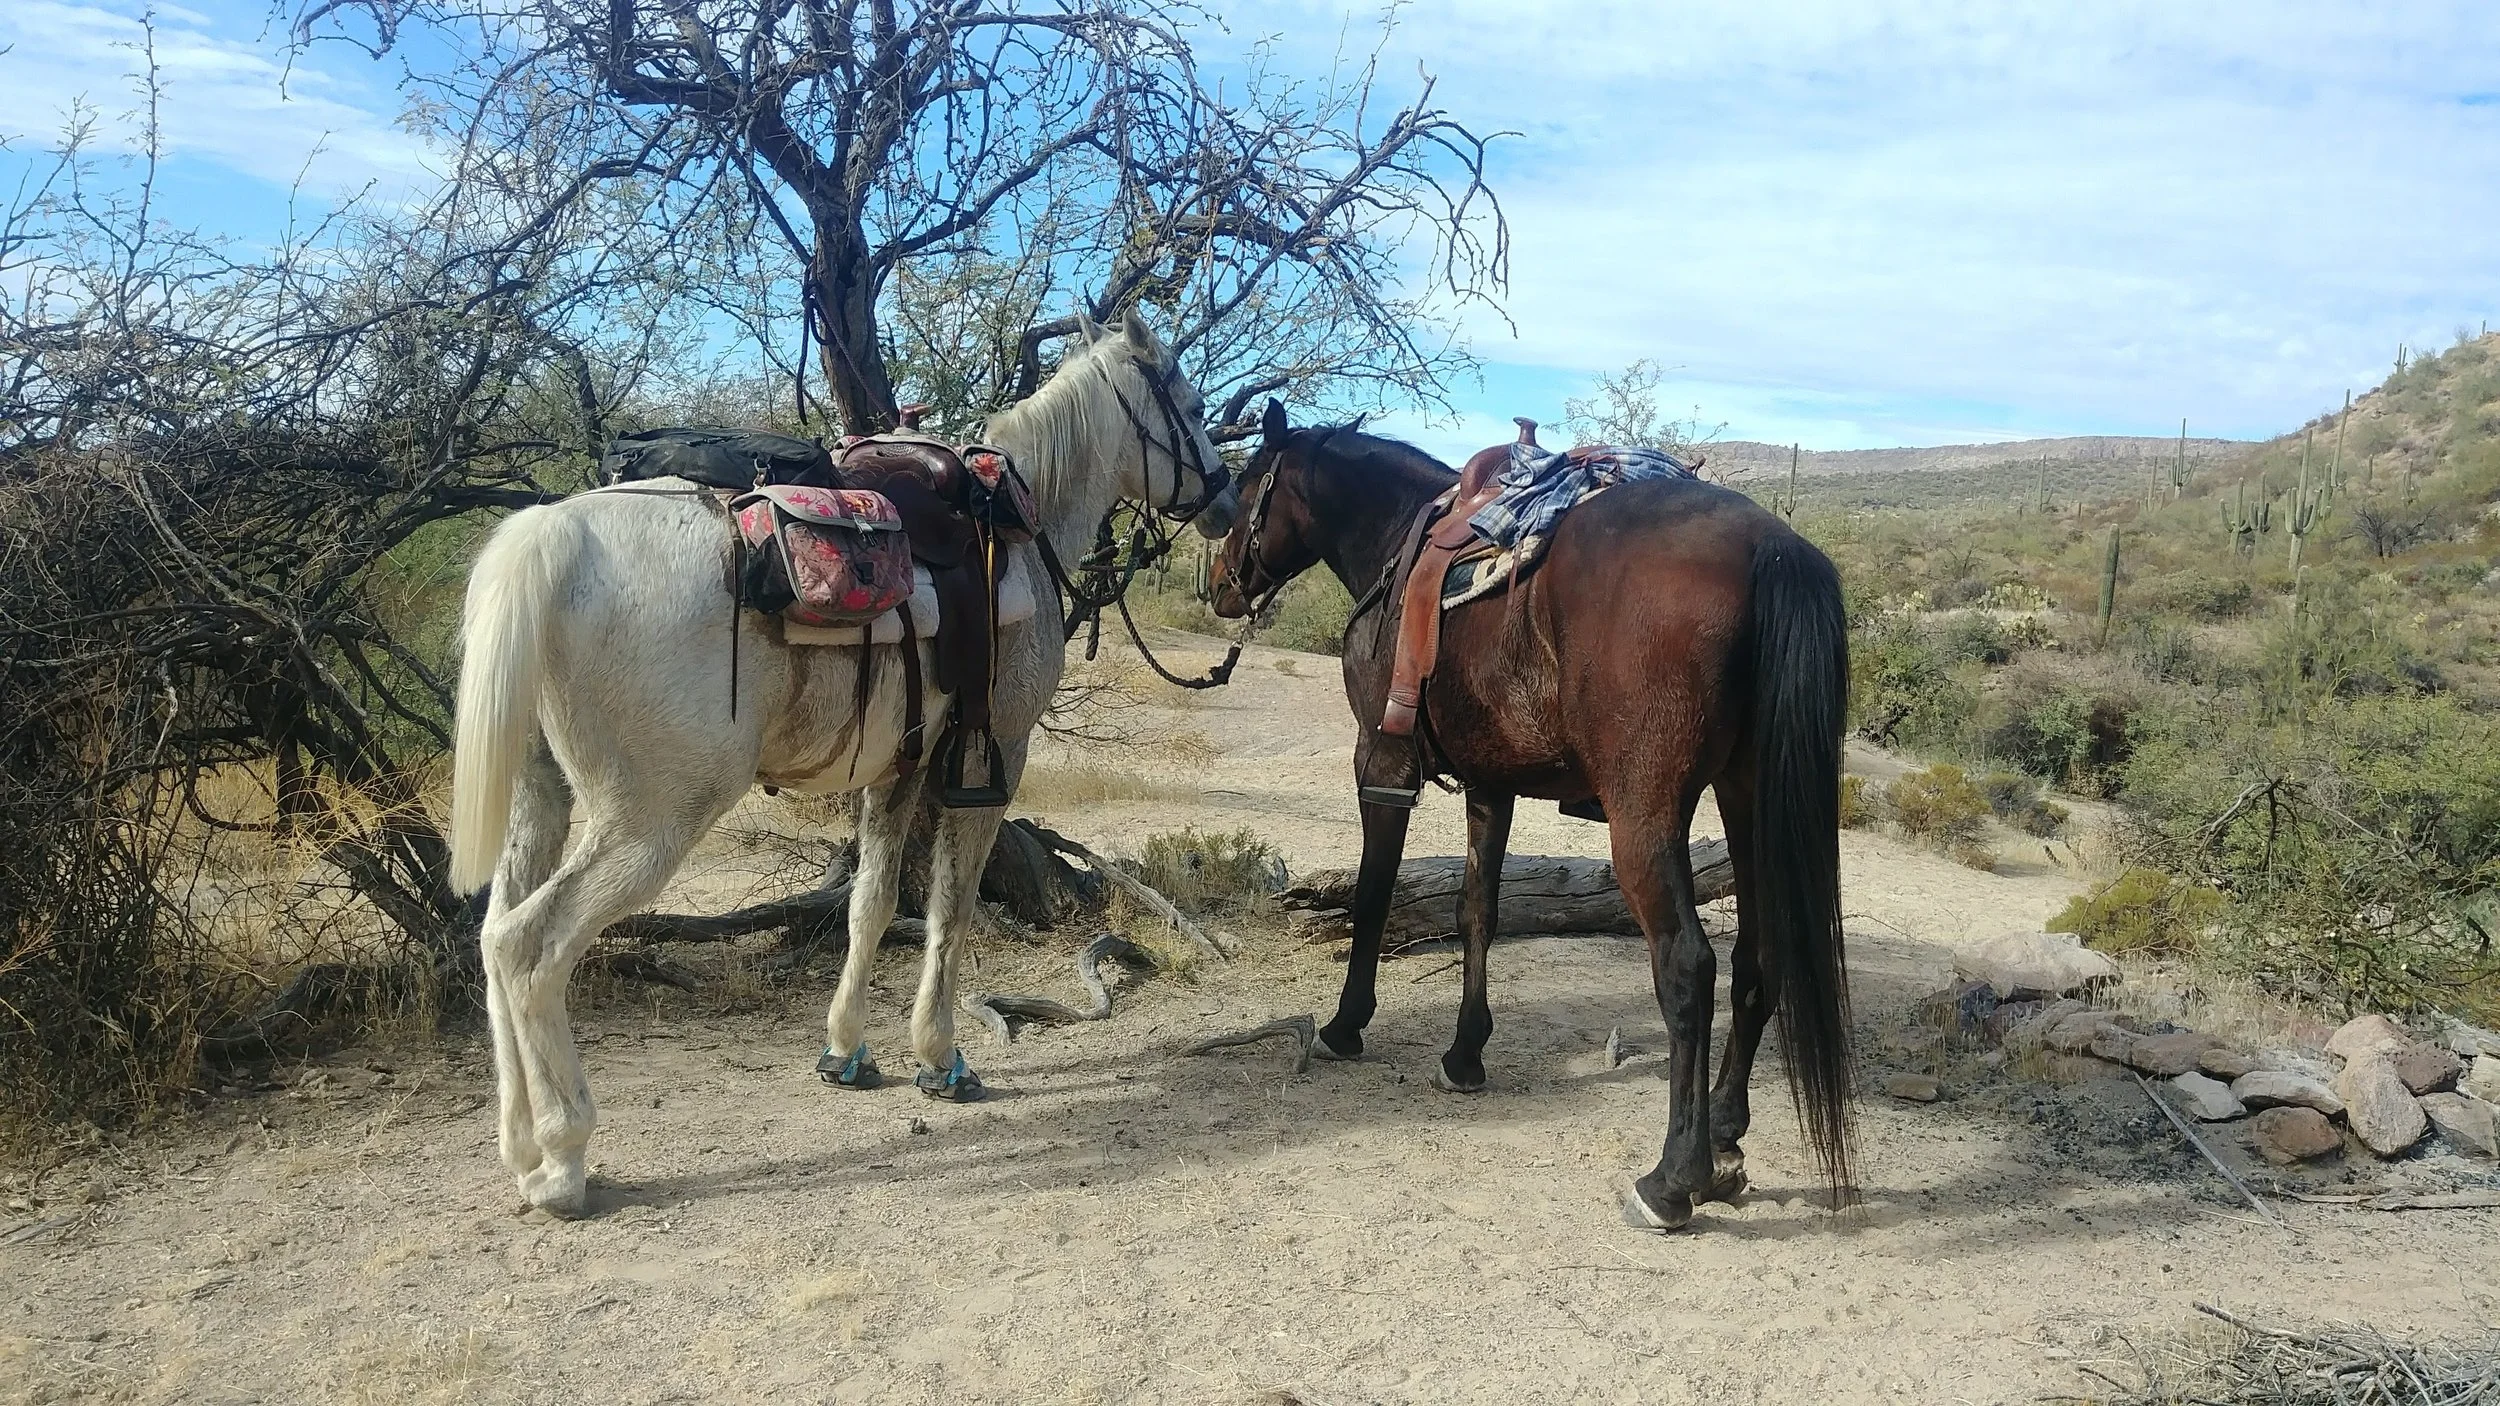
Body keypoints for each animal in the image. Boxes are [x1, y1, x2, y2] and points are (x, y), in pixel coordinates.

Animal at [448, 310, 1237, 1216]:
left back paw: (520, 1146)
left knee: (492, 934)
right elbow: (951, 909)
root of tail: (555, 534)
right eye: (1192, 404)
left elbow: (871, 903)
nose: (1226, 499)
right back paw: (564, 1157)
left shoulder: (899, 768)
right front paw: (941, 1057)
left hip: (541, 794)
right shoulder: (995, 755)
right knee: (529, 947)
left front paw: (848, 1051)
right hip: (652, 816)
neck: (1015, 519)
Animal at [1207, 401, 1852, 1231]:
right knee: (1756, 958)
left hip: (1645, 818)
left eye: (1246, 487)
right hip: (1745, 800)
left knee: (1687, 966)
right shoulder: (1492, 783)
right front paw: (1465, 1054)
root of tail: (1772, 546)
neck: (1396, 540)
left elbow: (1375, 896)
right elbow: (1478, 908)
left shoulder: (1380, 766)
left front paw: (1347, 1024)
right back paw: (1726, 1136)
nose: (1218, 583)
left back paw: (1673, 1179)